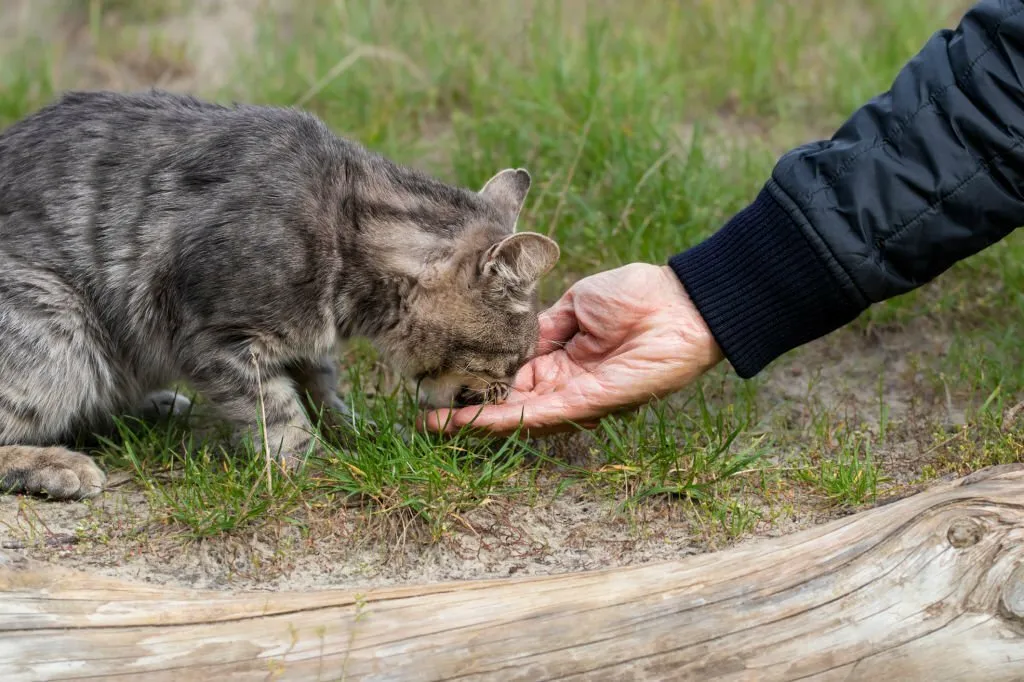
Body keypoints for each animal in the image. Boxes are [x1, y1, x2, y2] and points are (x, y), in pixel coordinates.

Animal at [0, 87, 561, 497]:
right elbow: (276, 409)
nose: (506, 390)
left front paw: (358, 432)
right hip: (58, 326)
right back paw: (55, 464)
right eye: (511, 360)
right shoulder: (217, 337)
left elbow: (320, 386)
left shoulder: (305, 343)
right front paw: (314, 463)